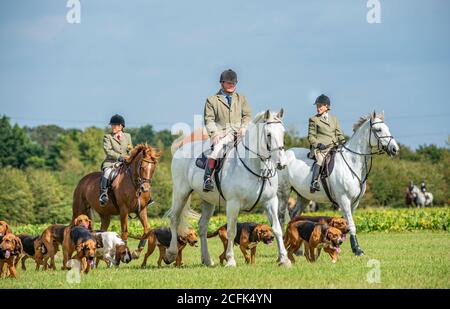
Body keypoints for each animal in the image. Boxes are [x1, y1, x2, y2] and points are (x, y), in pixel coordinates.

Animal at [163, 109, 290, 266]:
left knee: (202, 226)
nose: (282, 163)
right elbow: (231, 231)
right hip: (181, 193)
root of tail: (180, 148)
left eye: (283, 132)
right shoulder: (233, 204)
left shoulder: (271, 201)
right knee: (174, 219)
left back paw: (207, 259)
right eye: (269, 134)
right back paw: (171, 254)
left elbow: (277, 229)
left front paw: (284, 259)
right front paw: (230, 260)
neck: (257, 168)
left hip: (208, 200)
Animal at [278, 110, 400, 255]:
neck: (352, 162)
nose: (395, 149)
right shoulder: (344, 199)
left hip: (304, 196)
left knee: (295, 216)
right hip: (284, 193)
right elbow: (351, 225)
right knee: (281, 217)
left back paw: (298, 249)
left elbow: (346, 223)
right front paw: (357, 249)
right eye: (378, 129)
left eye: (387, 128)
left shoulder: (354, 202)